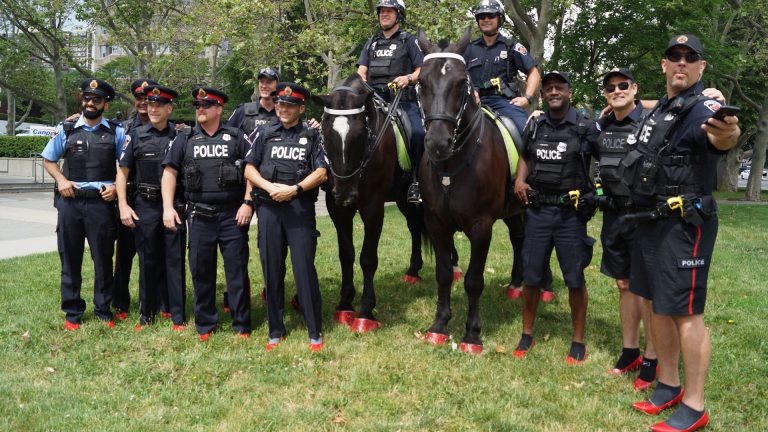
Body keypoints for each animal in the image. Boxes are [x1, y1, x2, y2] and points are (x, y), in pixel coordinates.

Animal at [310, 73, 426, 330]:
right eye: (325, 133)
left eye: (361, 134)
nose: (345, 193)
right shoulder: (337, 209)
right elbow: (346, 255)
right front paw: (345, 305)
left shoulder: (373, 208)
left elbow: (368, 258)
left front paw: (365, 311)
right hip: (403, 200)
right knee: (415, 227)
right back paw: (413, 271)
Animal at [414, 28, 528, 352]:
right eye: (421, 82)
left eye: (460, 83)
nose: (437, 143)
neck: (453, 164)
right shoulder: (436, 223)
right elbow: (443, 275)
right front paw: (439, 325)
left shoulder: (481, 226)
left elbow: (473, 281)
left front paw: (472, 333)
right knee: (518, 238)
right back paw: (517, 283)